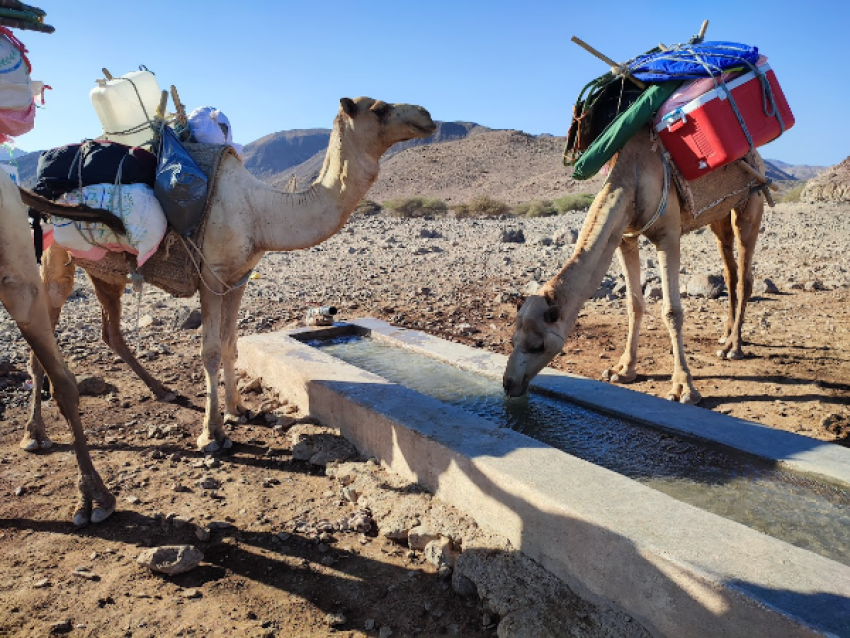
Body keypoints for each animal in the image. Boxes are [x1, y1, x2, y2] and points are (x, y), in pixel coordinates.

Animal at [24, 96, 438, 456]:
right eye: (380, 108)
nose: (427, 114)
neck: (260, 212)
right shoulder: (211, 276)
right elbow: (209, 350)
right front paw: (212, 435)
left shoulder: (238, 278)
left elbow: (230, 344)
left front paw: (238, 410)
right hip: (54, 256)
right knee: (42, 329)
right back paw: (35, 434)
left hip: (105, 271)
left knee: (110, 330)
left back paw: (163, 391)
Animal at [500, 126, 764, 404]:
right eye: (512, 340)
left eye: (538, 345)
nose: (509, 383)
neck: (633, 177)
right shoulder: (626, 237)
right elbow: (634, 304)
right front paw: (623, 370)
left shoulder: (668, 235)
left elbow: (672, 311)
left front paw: (683, 387)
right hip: (719, 216)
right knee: (730, 272)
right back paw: (725, 335)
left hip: (750, 204)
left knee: (745, 277)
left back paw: (734, 347)